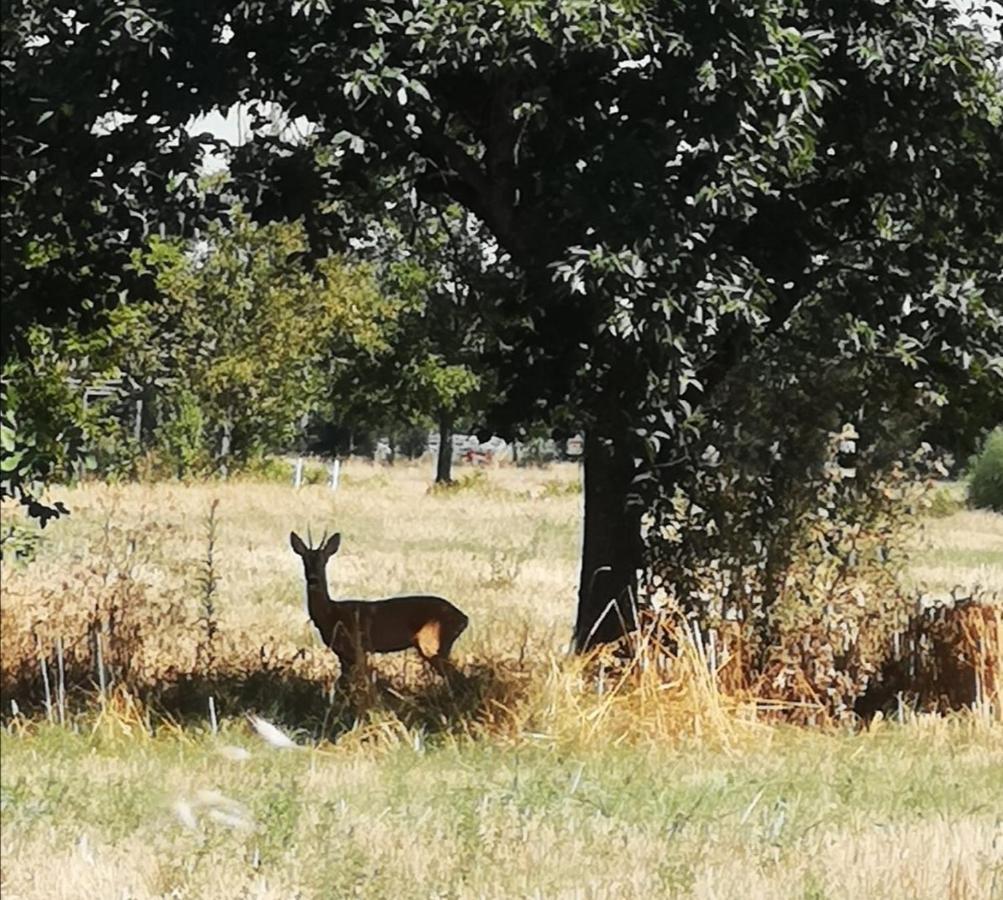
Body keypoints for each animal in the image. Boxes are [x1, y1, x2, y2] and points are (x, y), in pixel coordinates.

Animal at [286, 529, 465, 686]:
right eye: (304, 560)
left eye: (324, 560)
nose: (313, 579)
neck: (332, 614)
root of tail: (464, 618)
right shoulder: (343, 654)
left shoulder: (356, 647)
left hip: (432, 643)